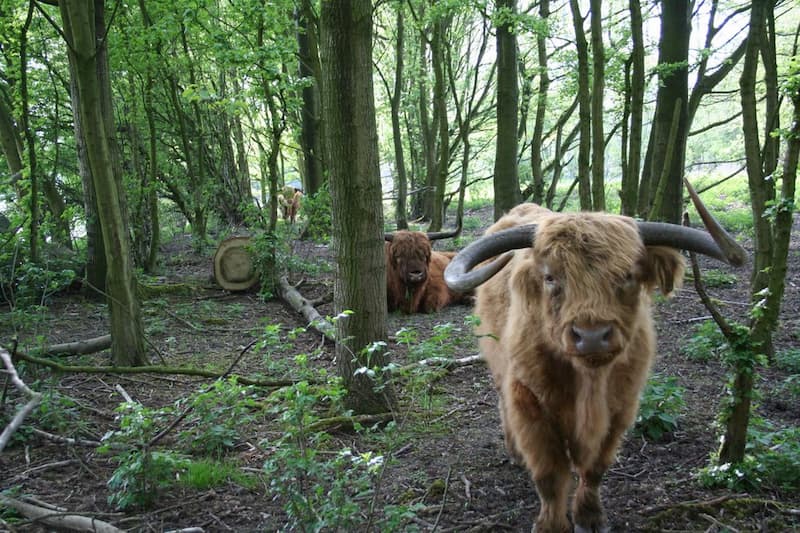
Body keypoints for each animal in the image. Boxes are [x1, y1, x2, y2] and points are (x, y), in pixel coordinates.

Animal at [444, 192, 746, 532]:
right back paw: (514, 453)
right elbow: (550, 474)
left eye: (627, 275)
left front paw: (590, 518)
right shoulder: (530, 403)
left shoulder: (621, 408)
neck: (589, 384)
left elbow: (594, 469)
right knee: (502, 404)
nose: (591, 336)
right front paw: (551, 525)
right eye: (550, 277)